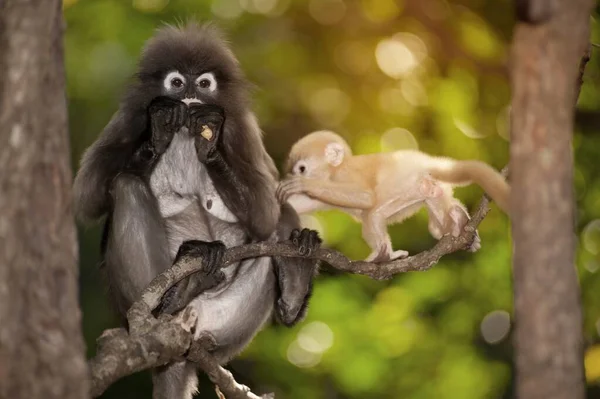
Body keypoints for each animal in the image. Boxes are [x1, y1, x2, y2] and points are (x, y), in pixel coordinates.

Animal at [274, 130, 508, 264]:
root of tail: (426, 162)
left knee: (373, 215)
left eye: (301, 169)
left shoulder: (344, 174)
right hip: (432, 187)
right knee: (437, 217)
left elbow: (366, 197)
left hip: (405, 186)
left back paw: (382, 256)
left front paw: (302, 184)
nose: (296, 176)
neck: (333, 171)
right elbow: (300, 202)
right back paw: (458, 220)